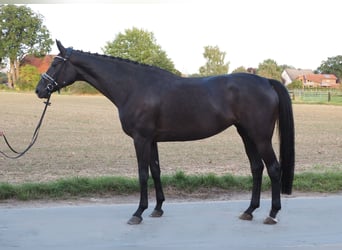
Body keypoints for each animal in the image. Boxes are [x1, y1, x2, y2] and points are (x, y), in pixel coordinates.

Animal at [36, 40, 294, 225]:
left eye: (55, 64)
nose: (39, 90)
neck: (134, 87)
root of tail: (266, 81)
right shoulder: (151, 140)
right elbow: (156, 170)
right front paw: (157, 209)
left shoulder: (141, 139)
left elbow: (142, 173)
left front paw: (138, 213)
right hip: (246, 134)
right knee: (257, 168)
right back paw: (249, 211)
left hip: (260, 137)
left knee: (273, 168)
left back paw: (272, 214)